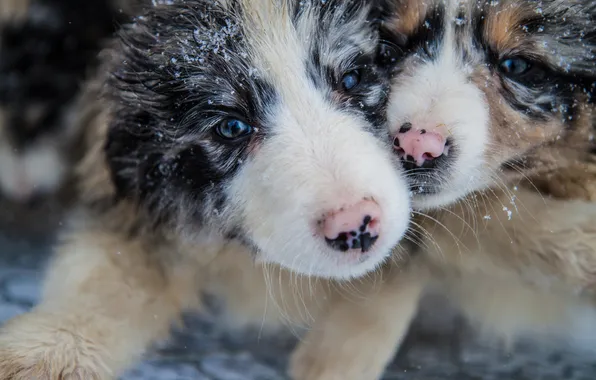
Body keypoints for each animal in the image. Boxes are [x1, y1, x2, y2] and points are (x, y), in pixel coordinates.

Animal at [0, 1, 414, 378]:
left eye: (352, 79)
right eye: (230, 128)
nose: (355, 225)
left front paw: (338, 355)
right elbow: (109, 280)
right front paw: (45, 353)